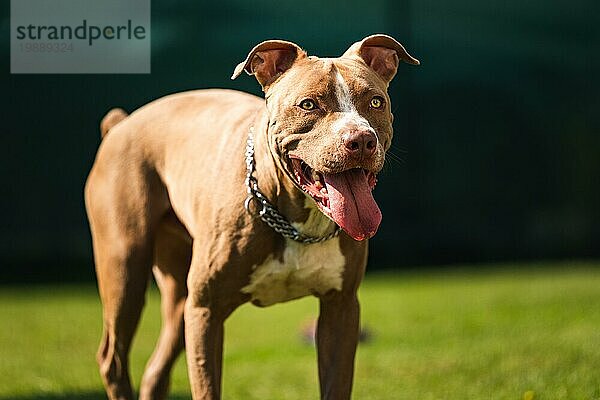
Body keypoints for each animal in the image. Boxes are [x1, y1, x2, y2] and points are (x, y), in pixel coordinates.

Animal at [85, 32, 418, 398]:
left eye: (375, 102)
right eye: (308, 105)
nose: (360, 140)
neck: (295, 222)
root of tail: (121, 124)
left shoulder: (341, 308)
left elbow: (335, 384)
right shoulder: (206, 310)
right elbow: (206, 386)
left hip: (178, 297)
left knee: (156, 367)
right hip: (125, 269)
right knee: (112, 358)